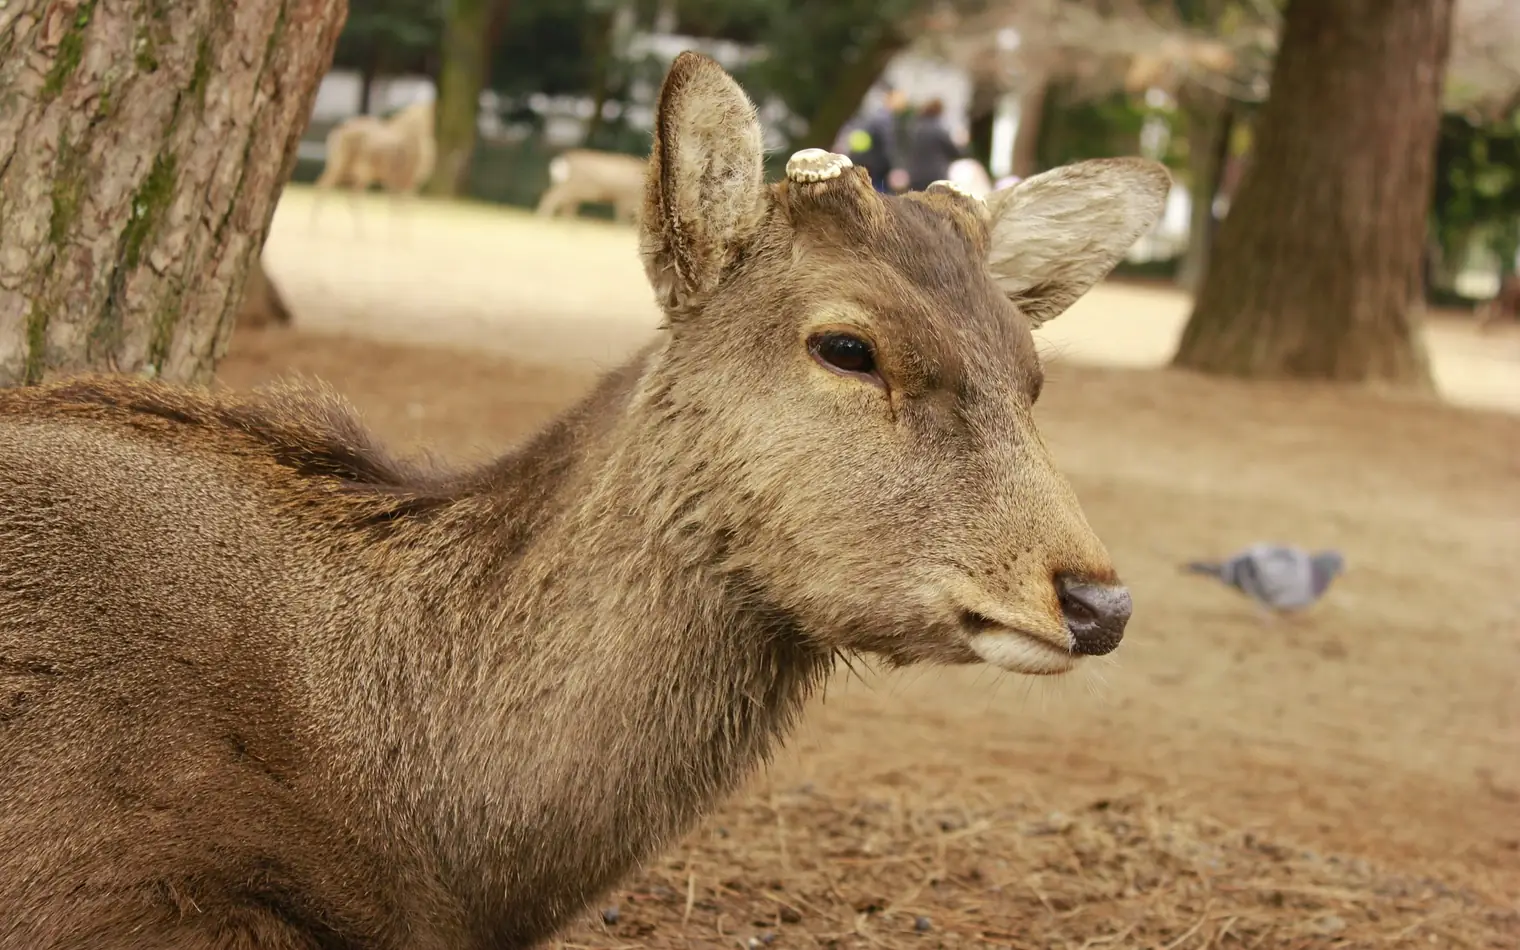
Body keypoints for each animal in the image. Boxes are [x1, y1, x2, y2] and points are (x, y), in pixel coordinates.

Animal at [308, 99, 437, 237]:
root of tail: (340, 128)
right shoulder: (402, 182)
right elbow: (401, 211)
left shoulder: (401, 183)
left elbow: (399, 210)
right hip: (340, 168)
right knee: (323, 189)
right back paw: (314, 228)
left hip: (356, 175)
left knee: (351, 198)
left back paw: (359, 233)